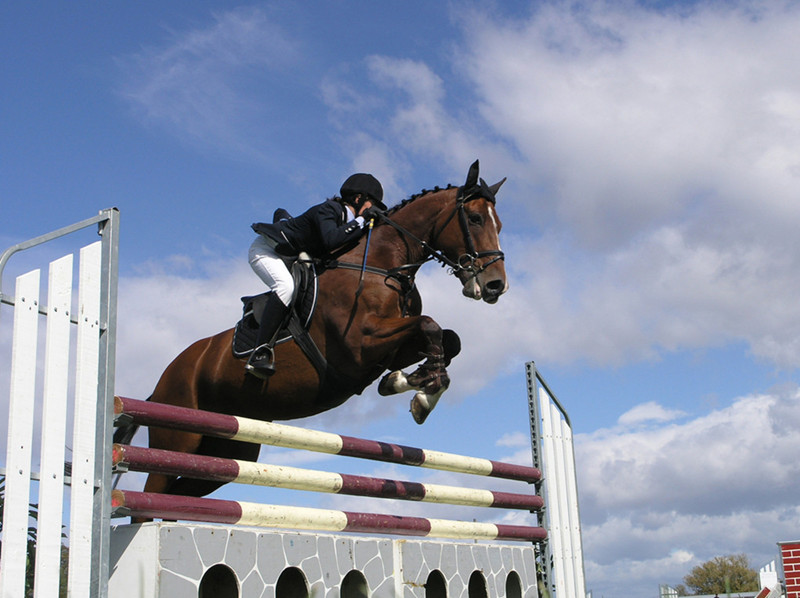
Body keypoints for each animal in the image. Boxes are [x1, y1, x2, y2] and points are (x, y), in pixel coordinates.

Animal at [115, 161, 510, 502]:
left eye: (500, 225)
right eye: (474, 218)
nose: (495, 286)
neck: (384, 266)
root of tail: (160, 383)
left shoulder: (389, 349)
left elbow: (448, 338)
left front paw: (411, 385)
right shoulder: (360, 346)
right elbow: (430, 325)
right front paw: (420, 391)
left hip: (230, 449)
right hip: (178, 436)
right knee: (150, 496)